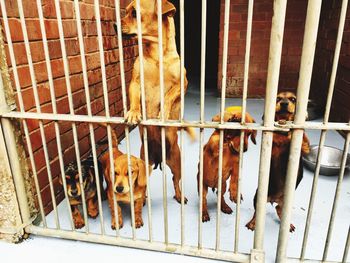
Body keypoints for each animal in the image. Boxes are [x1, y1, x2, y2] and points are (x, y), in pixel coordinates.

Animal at [245, 92, 310, 233]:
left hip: (286, 203)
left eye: (293, 99)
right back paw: (253, 223)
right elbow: (273, 134)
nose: (284, 103)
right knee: (257, 213)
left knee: (279, 209)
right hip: (258, 197)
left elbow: (302, 137)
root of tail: (274, 199)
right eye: (278, 98)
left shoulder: (305, 149)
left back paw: (288, 225)